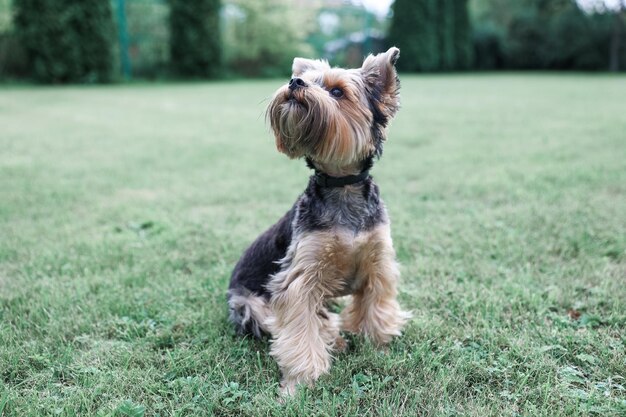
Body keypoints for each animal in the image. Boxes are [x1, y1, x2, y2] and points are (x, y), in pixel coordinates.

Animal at [227, 47, 408, 394]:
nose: (294, 82)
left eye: (337, 92)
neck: (342, 186)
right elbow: (299, 328)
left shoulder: (377, 261)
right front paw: (301, 381)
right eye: (305, 79)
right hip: (250, 305)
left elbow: (376, 303)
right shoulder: (300, 276)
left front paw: (377, 344)